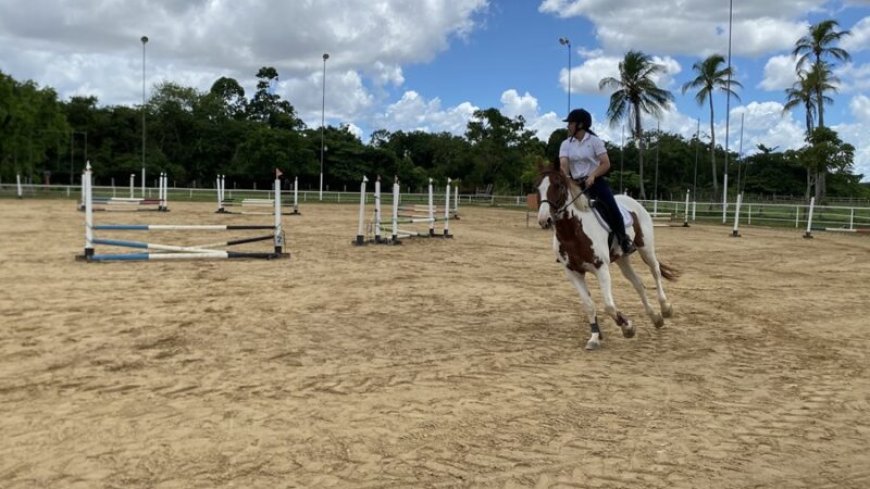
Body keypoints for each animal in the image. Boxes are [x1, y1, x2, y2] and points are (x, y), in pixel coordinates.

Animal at [536, 168, 684, 350]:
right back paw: (656, 318)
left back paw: (665, 308)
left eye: (559, 186)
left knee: (655, 271)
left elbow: (608, 306)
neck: (573, 232)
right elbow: (589, 305)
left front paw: (628, 327)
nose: (544, 220)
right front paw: (594, 337)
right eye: (538, 188)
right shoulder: (573, 272)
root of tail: (632, 201)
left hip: (646, 249)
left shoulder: (601, 268)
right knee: (638, 284)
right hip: (622, 258)